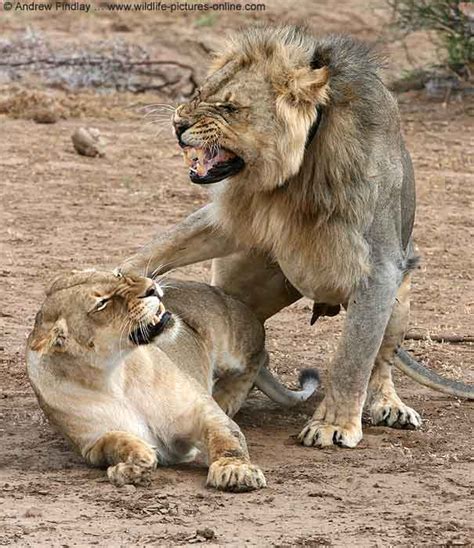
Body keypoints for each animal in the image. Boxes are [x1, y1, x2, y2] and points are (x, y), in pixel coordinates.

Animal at [27, 270, 320, 488]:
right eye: (102, 303)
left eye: (117, 274)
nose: (151, 287)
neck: (113, 375)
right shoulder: (90, 444)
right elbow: (117, 441)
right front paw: (133, 464)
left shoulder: (202, 411)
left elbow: (227, 437)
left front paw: (236, 471)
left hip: (232, 338)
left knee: (260, 355)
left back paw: (227, 398)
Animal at [120, 24, 472, 450]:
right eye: (200, 93)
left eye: (230, 108)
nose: (177, 125)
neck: (292, 175)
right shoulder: (234, 216)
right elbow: (166, 244)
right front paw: (124, 279)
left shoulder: (381, 268)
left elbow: (353, 357)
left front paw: (333, 425)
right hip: (242, 287)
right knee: (250, 345)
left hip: (401, 293)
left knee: (382, 362)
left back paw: (390, 406)